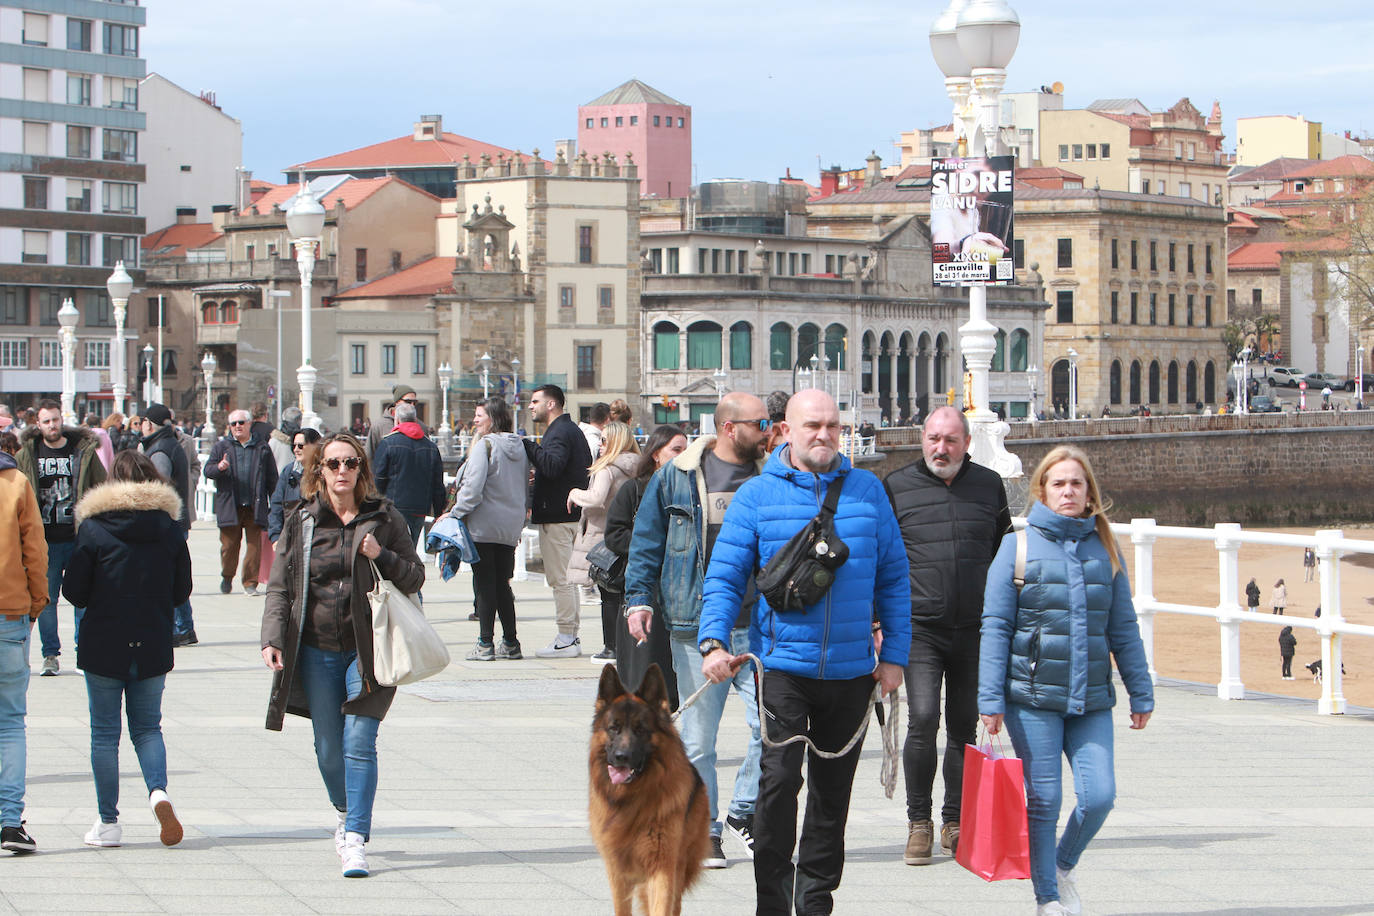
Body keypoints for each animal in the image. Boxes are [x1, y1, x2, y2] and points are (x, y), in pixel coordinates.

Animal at [588, 667, 708, 916]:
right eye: (614, 728)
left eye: (640, 730)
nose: (621, 757)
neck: (632, 800)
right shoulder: (617, 871)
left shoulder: (662, 867)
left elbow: (661, 906)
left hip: (680, 863)